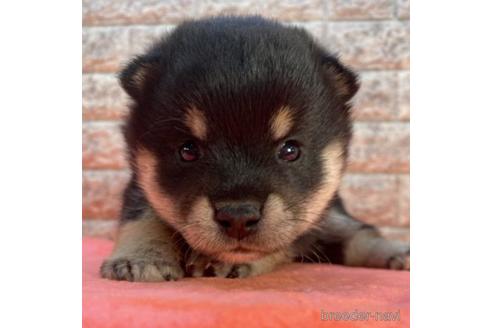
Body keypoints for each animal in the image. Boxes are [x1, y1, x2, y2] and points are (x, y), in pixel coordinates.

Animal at [99, 16, 408, 282]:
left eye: (290, 150)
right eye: (188, 150)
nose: (238, 216)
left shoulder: (308, 219)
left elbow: (287, 240)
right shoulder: (142, 183)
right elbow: (143, 217)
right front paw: (140, 258)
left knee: (360, 233)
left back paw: (398, 252)